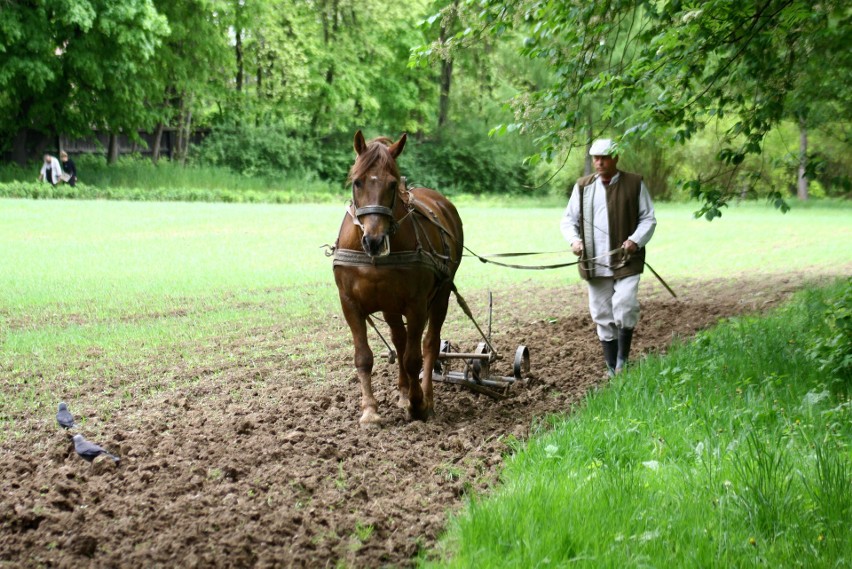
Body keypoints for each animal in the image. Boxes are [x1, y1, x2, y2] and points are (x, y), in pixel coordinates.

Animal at [332, 131, 466, 426]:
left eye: (392, 184)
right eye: (357, 182)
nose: (373, 240)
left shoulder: (417, 305)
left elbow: (414, 358)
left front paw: (418, 405)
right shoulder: (350, 304)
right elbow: (364, 357)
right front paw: (370, 411)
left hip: (440, 296)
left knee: (429, 345)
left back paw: (425, 399)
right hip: (391, 306)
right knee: (399, 339)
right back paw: (404, 393)